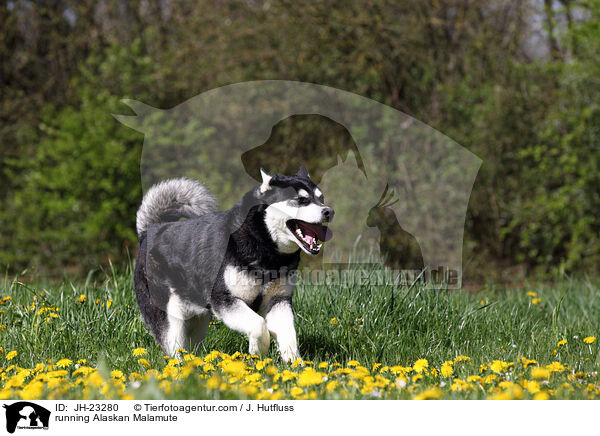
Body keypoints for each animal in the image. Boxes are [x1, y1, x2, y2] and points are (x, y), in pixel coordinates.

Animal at [134, 167, 332, 362]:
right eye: (302, 200)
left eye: (321, 198)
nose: (329, 211)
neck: (265, 248)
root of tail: (150, 230)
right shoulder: (224, 299)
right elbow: (259, 325)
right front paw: (258, 351)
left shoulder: (278, 300)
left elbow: (289, 335)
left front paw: (294, 363)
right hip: (170, 316)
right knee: (173, 347)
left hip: (197, 318)